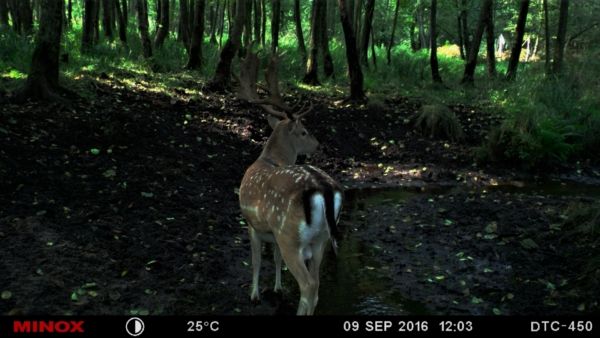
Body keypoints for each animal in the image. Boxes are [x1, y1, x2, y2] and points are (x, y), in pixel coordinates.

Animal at [238, 52, 342, 314]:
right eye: (304, 132)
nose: (318, 145)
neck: (269, 158)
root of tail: (324, 188)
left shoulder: (252, 224)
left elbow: (256, 261)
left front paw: (254, 294)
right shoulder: (271, 233)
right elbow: (272, 259)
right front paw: (276, 288)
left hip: (290, 236)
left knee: (308, 286)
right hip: (321, 239)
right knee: (316, 285)